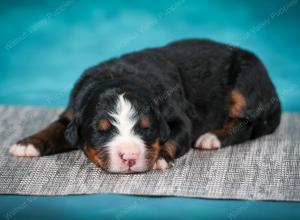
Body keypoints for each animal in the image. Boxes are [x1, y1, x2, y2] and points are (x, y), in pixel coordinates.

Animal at [9, 39, 282, 174]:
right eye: (101, 130)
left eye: (146, 128)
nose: (130, 156)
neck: (117, 76)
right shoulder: (72, 111)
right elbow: (54, 128)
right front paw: (26, 144)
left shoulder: (180, 119)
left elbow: (172, 138)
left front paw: (159, 157)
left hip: (246, 78)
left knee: (247, 124)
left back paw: (210, 138)